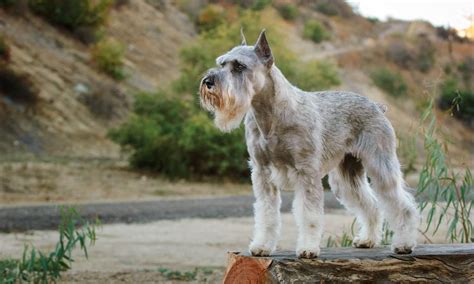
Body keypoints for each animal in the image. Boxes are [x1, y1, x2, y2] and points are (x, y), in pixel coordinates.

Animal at [199, 30, 418, 258]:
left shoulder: (306, 171)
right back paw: (367, 239)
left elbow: (309, 215)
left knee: (402, 205)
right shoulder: (262, 172)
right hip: (346, 176)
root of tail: (377, 105)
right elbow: (266, 213)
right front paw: (262, 246)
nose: (208, 81)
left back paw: (404, 244)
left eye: (239, 66)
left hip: (381, 165)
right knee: (371, 205)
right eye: (221, 63)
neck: (270, 115)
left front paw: (308, 248)